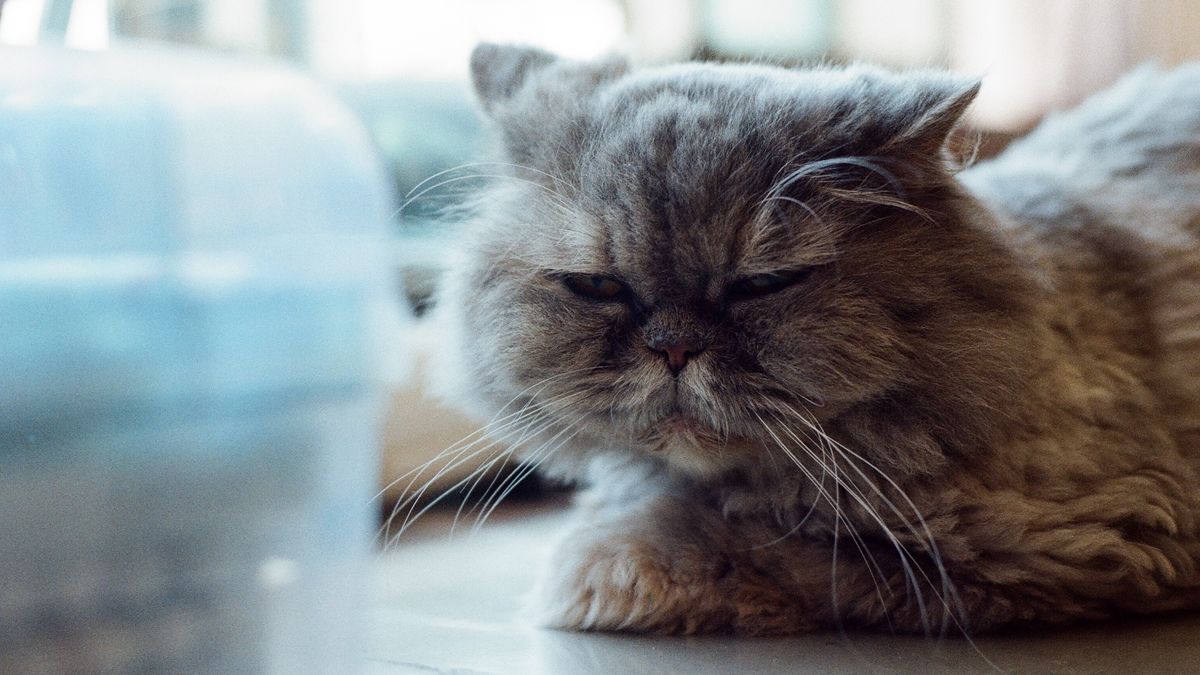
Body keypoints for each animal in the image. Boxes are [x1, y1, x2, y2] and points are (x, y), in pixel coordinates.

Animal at [427, 43, 1200, 634]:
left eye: (763, 285)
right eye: (598, 287)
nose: (673, 349)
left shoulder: (1072, 543)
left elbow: (760, 542)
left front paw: (600, 567)